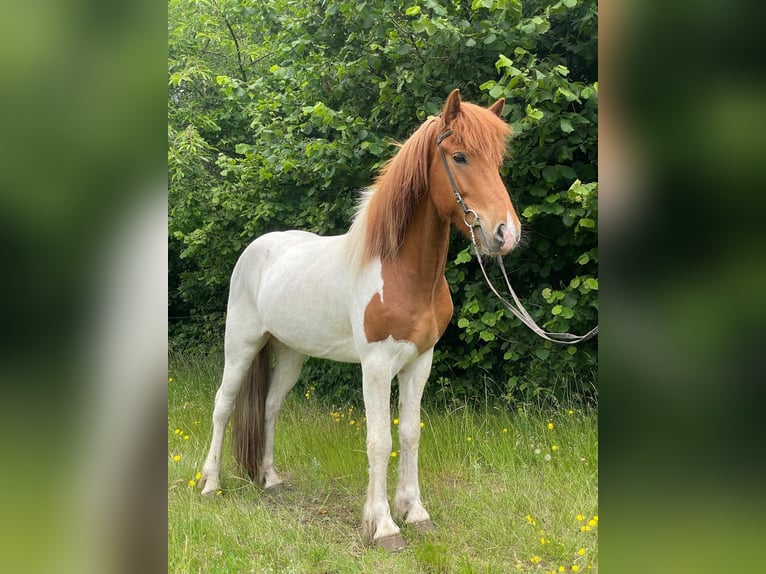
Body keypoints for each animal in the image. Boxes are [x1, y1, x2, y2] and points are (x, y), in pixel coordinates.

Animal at [199, 89, 521, 551]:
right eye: (459, 157)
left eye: (497, 160)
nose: (505, 234)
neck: (402, 272)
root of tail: (257, 248)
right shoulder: (376, 365)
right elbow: (378, 440)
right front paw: (383, 525)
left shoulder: (419, 362)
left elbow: (409, 433)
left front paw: (415, 512)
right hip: (240, 344)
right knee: (223, 405)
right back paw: (210, 483)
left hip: (291, 354)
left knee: (270, 406)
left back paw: (271, 479)